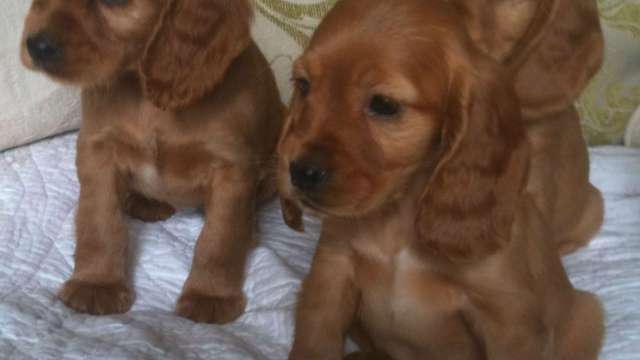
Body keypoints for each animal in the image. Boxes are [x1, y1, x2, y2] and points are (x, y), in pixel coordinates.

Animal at [20, 0, 282, 324]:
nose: (36, 45)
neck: (145, 94)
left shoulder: (232, 170)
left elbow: (219, 237)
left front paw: (209, 296)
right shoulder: (98, 152)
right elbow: (99, 221)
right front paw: (96, 284)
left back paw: (250, 230)